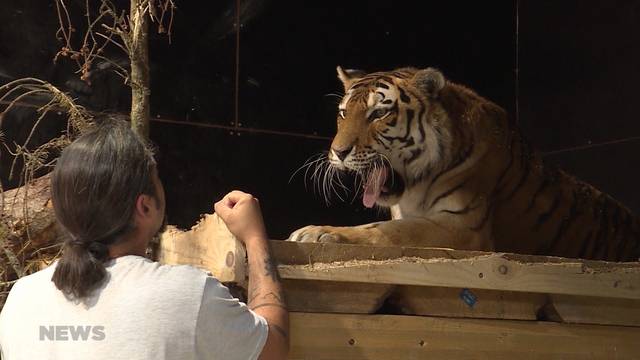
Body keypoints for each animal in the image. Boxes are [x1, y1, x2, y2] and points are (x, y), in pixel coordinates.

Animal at [288, 65, 640, 262]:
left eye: (379, 113)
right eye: (343, 113)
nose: (338, 152)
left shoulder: (463, 227)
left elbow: (387, 231)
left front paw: (316, 232)